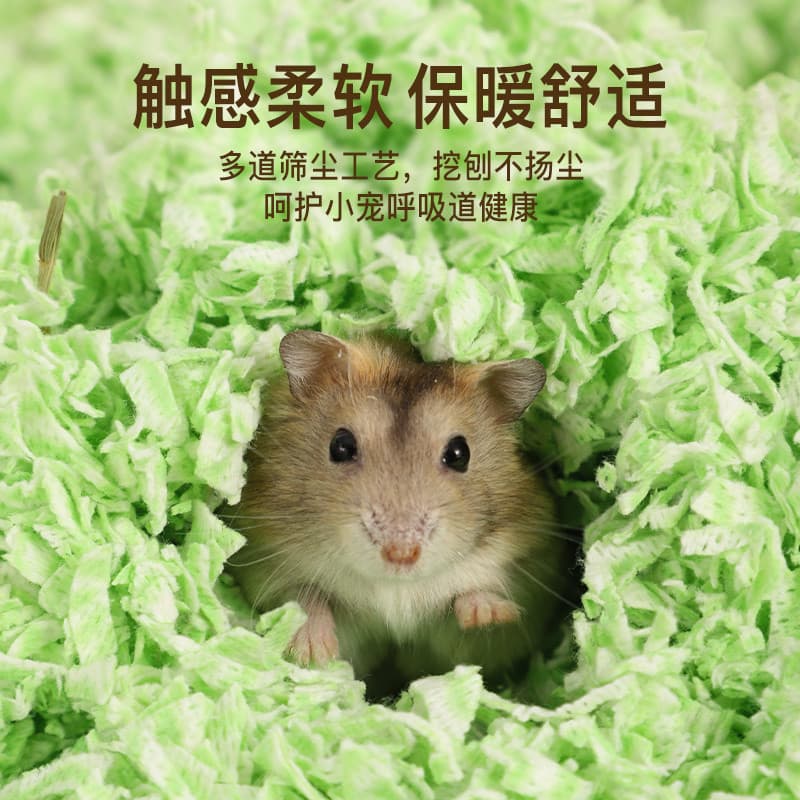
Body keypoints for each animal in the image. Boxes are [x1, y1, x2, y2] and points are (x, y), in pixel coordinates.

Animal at [224, 330, 574, 692]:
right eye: (341, 446)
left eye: (459, 453)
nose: (401, 553)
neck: (394, 587)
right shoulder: (265, 563)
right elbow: (304, 599)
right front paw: (313, 652)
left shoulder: (527, 585)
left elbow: (476, 608)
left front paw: (488, 613)